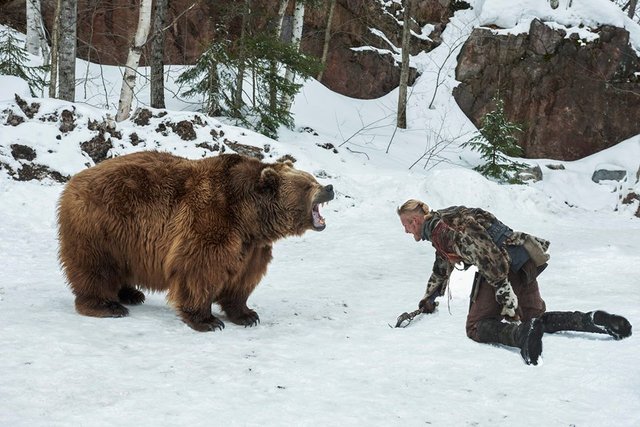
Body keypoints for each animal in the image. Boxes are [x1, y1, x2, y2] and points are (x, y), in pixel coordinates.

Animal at [57, 152, 336, 332]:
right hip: (102, 225)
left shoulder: (252, 246)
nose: (329, 187)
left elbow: (243, 279)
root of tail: (73, 182)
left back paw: (131, 293)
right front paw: (208, 320)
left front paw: (247, 314)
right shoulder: (211, 220)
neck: (250, 218)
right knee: (96, 266)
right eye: (307, 184)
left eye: (313, 178)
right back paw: (106, 305)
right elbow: (200, 269)